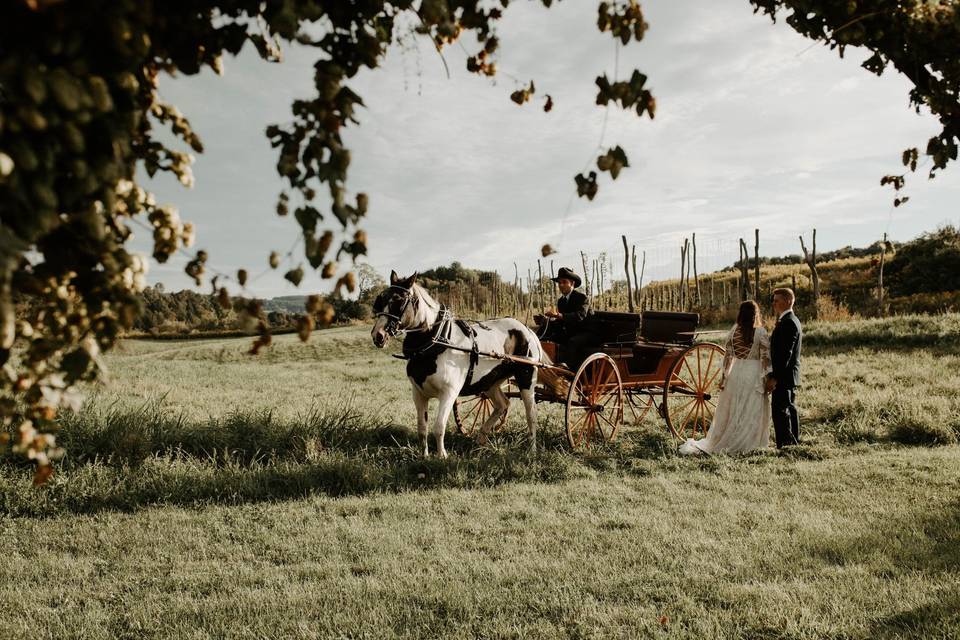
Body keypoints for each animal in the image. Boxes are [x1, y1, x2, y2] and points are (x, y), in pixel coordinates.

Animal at [370, 272, 544, 458]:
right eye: (381, 299)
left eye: (399, 300)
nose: (378, 335)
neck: (437, 341)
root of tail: (527, 330)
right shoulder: (418, 393)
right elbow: (422, 428)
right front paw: (424, 456)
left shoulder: (449, 393)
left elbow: (439, 426)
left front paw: (442, 456)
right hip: (489, 382)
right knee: (502, 404)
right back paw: (481, 439)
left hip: (526, 377)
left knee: (531, 414)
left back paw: (532, 449)